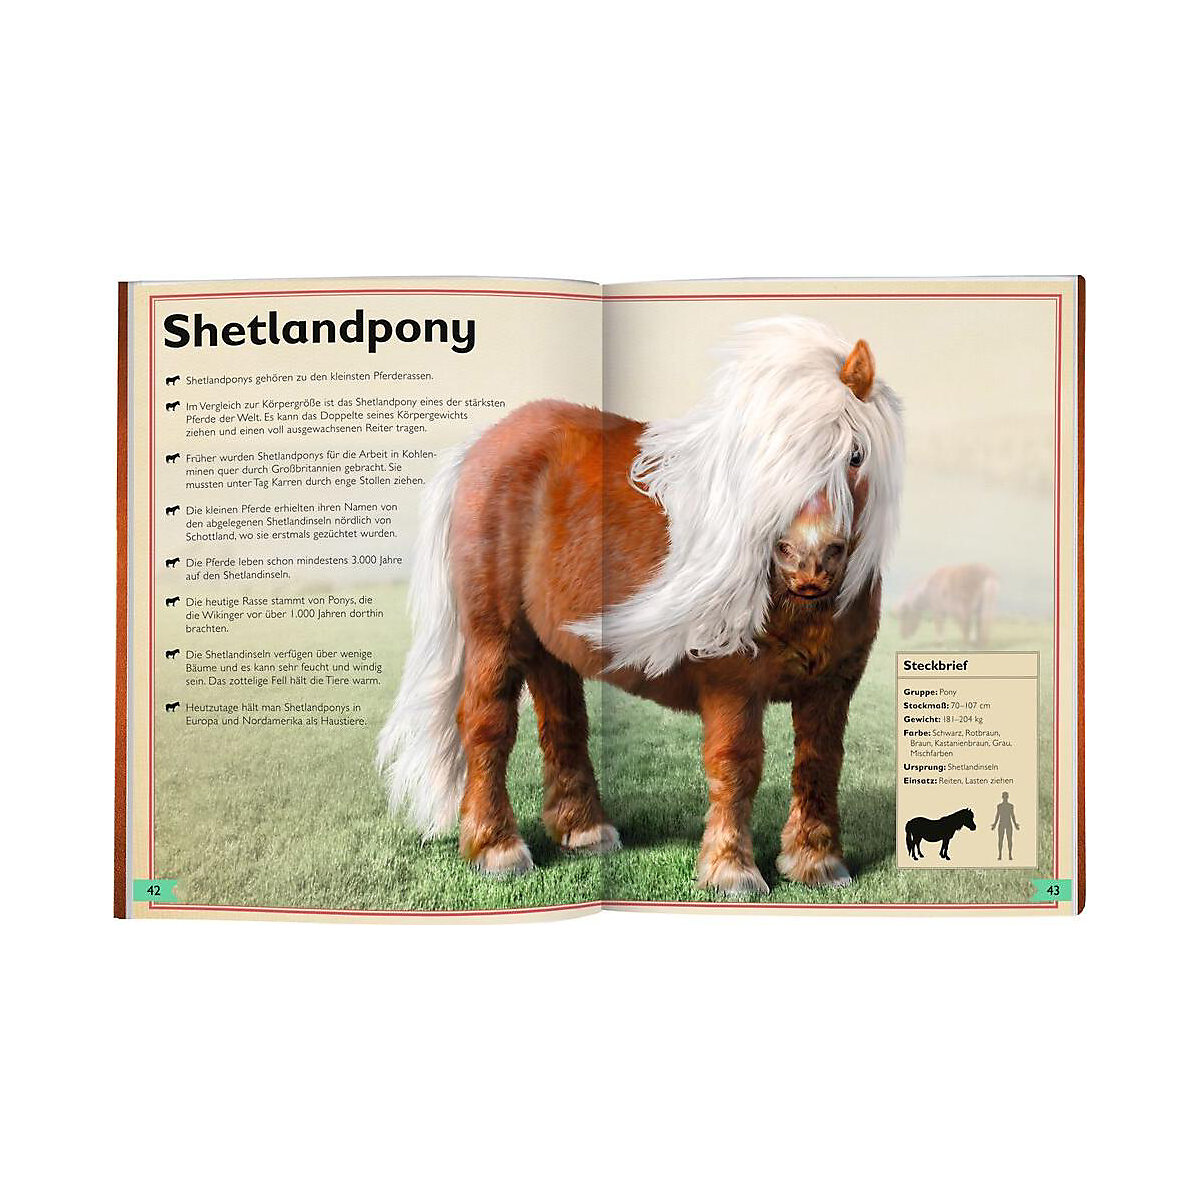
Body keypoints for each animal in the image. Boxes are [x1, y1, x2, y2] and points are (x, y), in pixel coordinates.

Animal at [378, 317, 905, 894]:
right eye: (764, 460)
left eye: (854, 454)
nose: (809, 560)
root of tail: (481, 447)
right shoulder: (733, 681)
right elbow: (737, 764)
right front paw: (731, 870)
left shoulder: (833, 684)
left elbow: (820, 763)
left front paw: (816, 862)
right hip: (495, 636)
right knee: (487, 725)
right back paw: (496, 848)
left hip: (549, 644)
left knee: (562, 720)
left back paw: (584, 831)